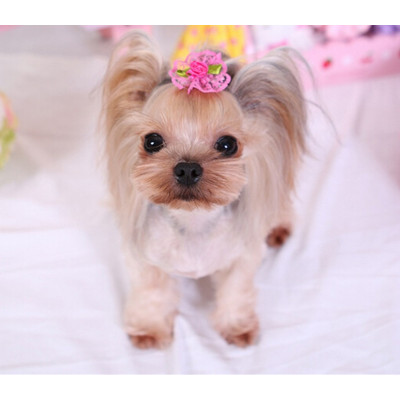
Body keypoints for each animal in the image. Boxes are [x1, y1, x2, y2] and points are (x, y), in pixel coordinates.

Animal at [101, 31, 308, 348]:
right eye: (152, 141)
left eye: (228, 144)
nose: (187, 168)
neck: (193, 220)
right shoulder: (145, 259)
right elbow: (151, 292)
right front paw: (149, 329)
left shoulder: (242, 256)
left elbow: (236, 290)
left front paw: (237, 327)